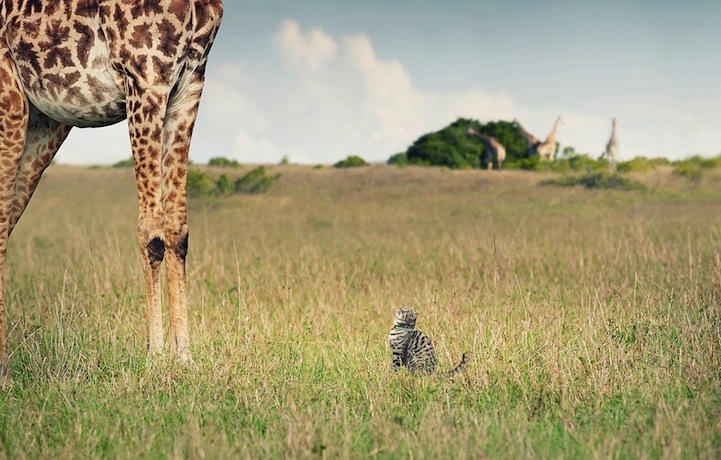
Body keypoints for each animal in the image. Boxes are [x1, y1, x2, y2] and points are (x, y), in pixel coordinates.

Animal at [0, 0, 224, 380]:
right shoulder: (144, 76)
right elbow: (152, 233)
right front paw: (155, 358)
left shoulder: (190, 84)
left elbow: (177, 231)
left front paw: (184, 358)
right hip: (11, 105)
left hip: (45, 122)